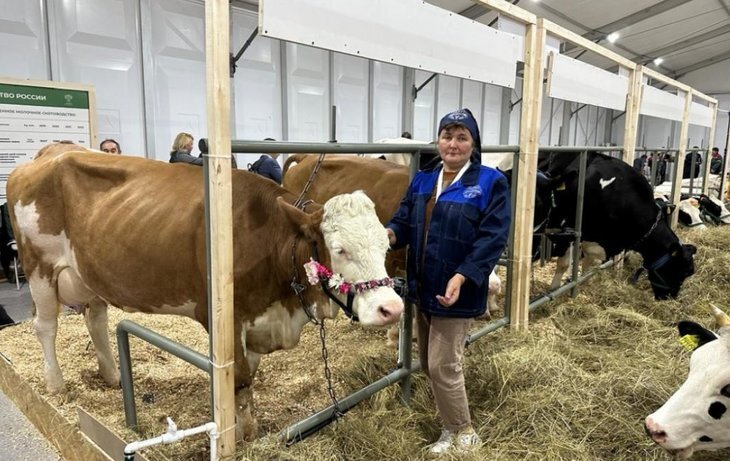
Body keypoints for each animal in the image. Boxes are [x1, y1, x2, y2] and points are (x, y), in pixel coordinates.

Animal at [7, 142, 404, 440]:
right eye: (339, 249)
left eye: (385, 243)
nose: (392, 308)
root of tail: (53, 151)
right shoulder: (223, 317)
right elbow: (239, 379)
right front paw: (241, 438)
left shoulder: (255, 320)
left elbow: (247, 379)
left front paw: (247, 429)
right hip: (39, 266)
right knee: (46, 327)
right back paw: (55, 384)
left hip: (88, 271)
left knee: (96, 317)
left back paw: (113, 376)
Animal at [536, 151, 692, 300]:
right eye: (681, 270)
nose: (670, 297)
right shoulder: (567, 230)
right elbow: (564, 263)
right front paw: (554, 290)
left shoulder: (593, 239)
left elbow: (587, 263)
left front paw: (583, 284)